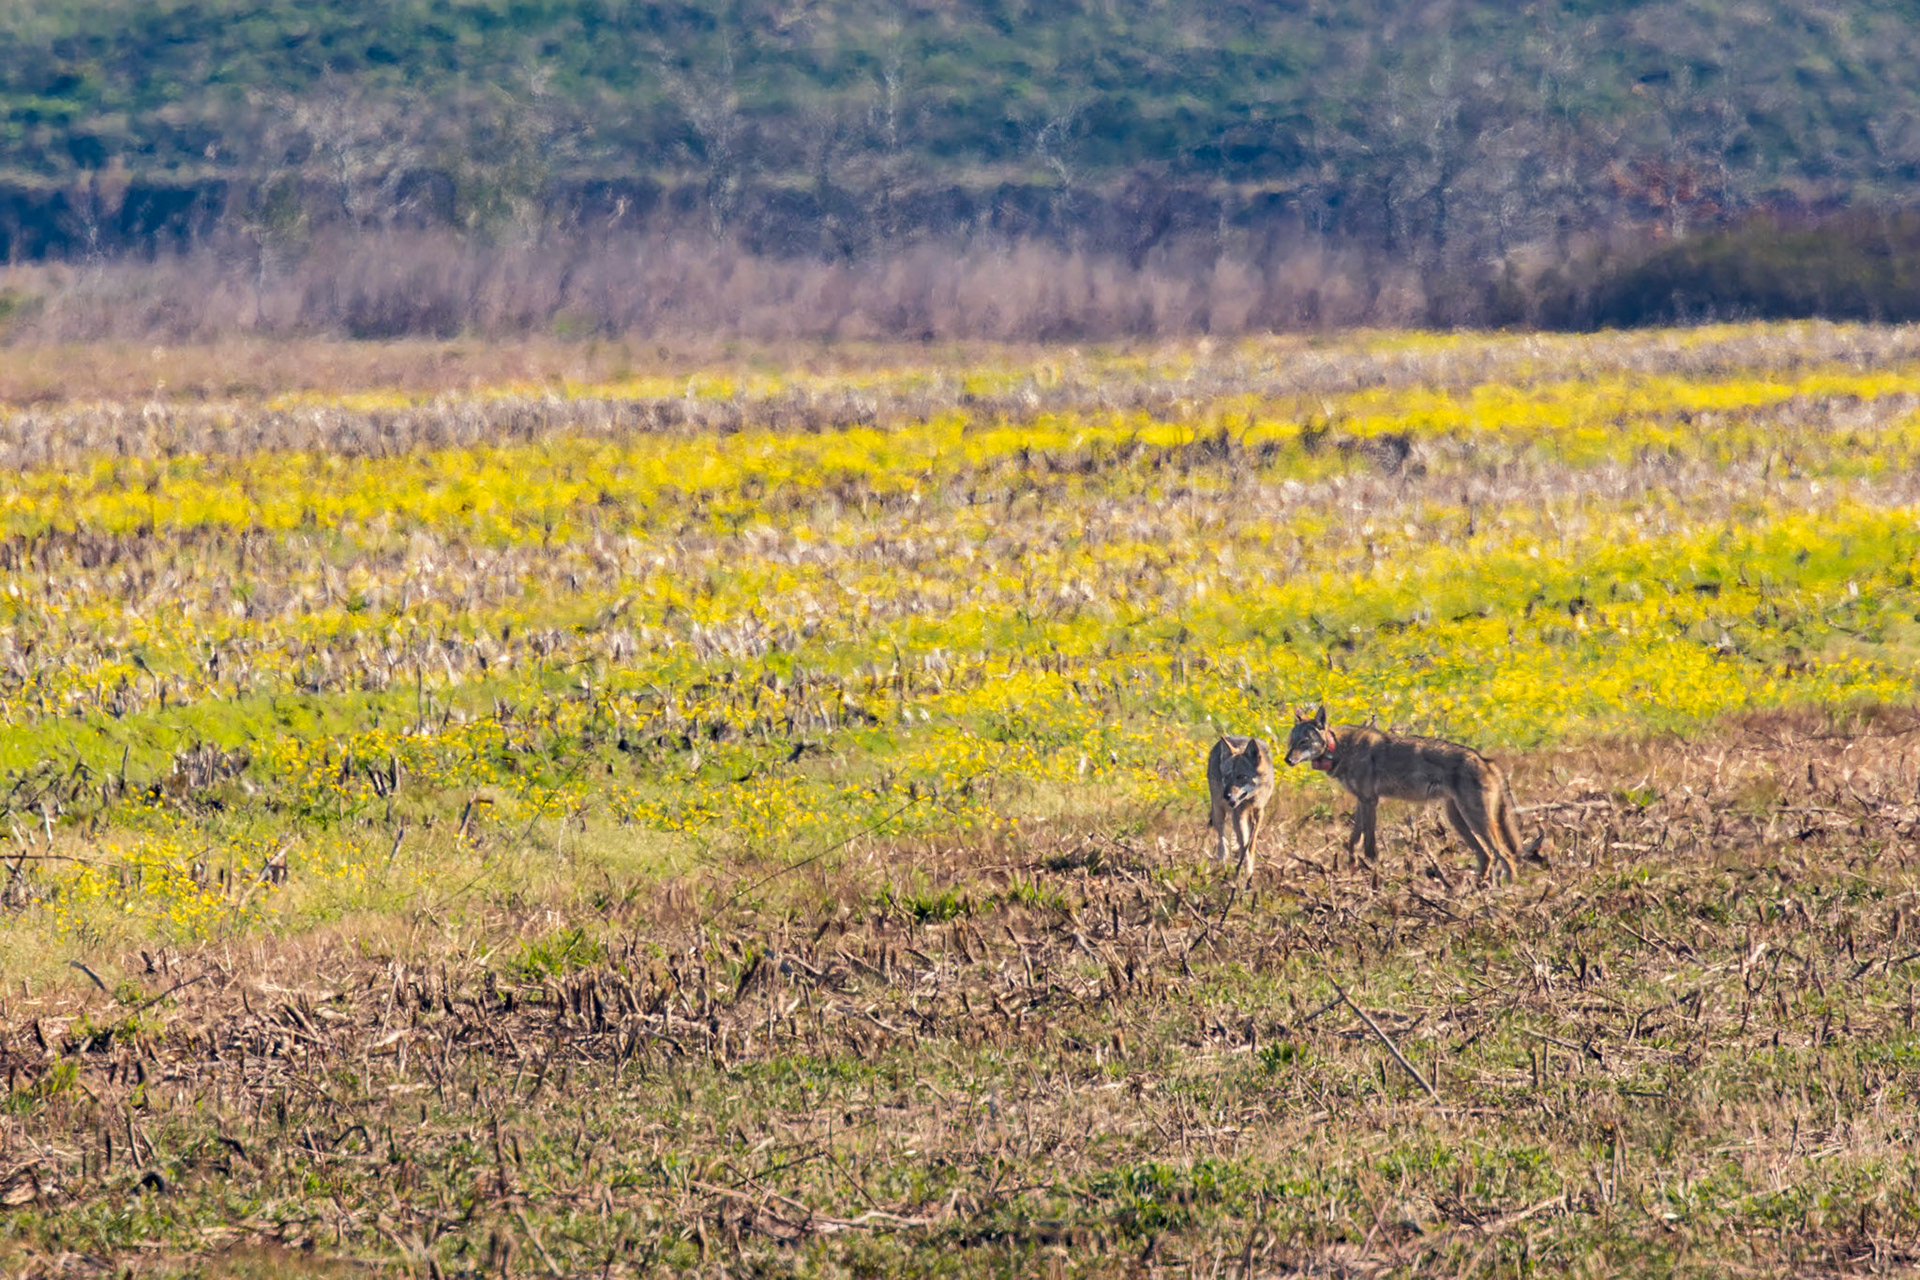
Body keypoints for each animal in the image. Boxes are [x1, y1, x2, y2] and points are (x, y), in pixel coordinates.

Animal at [1206, 734, 1275, 877]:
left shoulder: (1258, 812)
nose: (1225, 795)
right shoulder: (1238, 812)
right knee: (1222, 839)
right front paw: (1246, 872)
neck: (1251, 798)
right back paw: (1222, 864)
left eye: (1241, 777)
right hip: (1219, 812)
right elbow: (1244, 843)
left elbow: (1251, 844)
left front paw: (1248, 869)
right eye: (1226, 777)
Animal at [1284, 706, 1523, 883]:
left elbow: (1369, 846)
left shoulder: (1370, 801)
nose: (1287, 760)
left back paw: (1509, 891)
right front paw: (1351, 870)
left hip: (1476, 820)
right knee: (1486, 855)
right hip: (1459, 820)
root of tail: (1486, 760)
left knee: (1505, 855)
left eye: (1304, 742)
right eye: (1290, 742)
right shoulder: (1362, 801)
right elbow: (1352, 842)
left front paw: (1373, 875)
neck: (1339, 749)